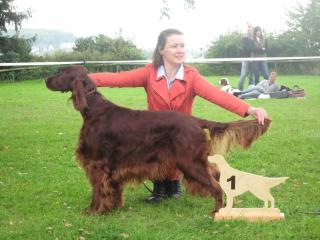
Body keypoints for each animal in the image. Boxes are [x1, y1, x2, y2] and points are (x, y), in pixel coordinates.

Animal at [45, 66, 270, 216]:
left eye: (61, 72)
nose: (46, 79)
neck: (94, 109)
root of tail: (195, 121)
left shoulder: (97, 164)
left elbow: (97, 190)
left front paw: (92, 211)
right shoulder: (113, 166)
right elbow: (113, 190)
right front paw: (113, 208)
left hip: (189, 162)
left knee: (215, 185)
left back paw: (216, 211)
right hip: (195, 160)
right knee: (216, 173)